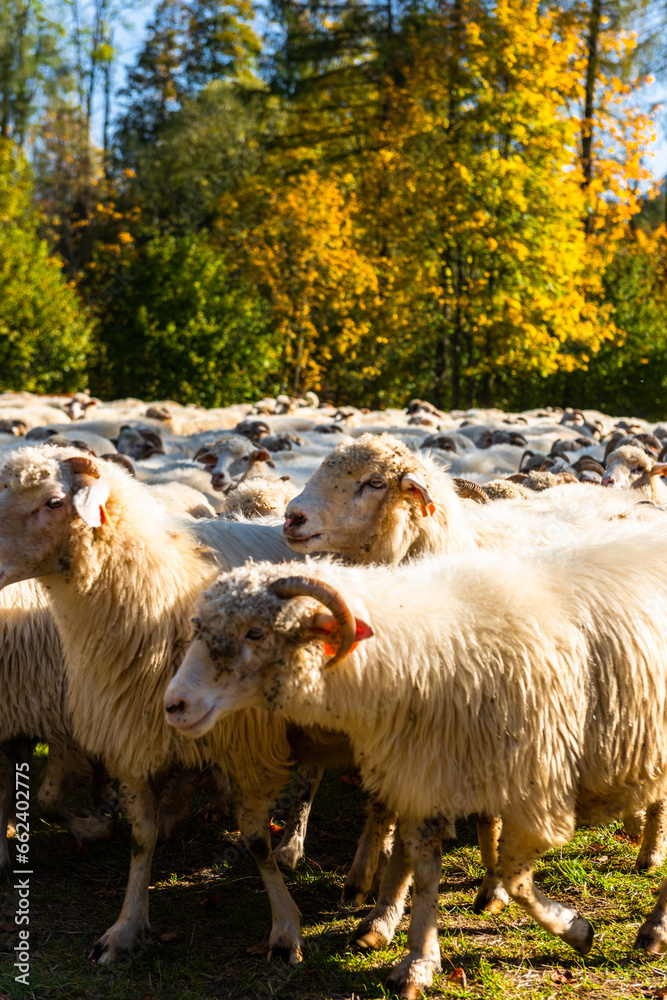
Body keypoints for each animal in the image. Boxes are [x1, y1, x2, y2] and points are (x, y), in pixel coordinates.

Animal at [0, 450, 306, 964]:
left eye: (55, 501)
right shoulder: (133, 733)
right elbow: (140, 839)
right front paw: (126, 927)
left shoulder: (247, 742)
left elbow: (256, 839)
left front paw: (285, 926)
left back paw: (294, 844)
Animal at [166, 532, 667, 992]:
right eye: (199, 629)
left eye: (255, 632)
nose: (174, 704)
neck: (419, 647)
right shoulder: (426, 778)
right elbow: (426, 874)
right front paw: (420, 959)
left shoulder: (535, 790)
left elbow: (515, 879)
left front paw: (576, 930)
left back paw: (654, 926)